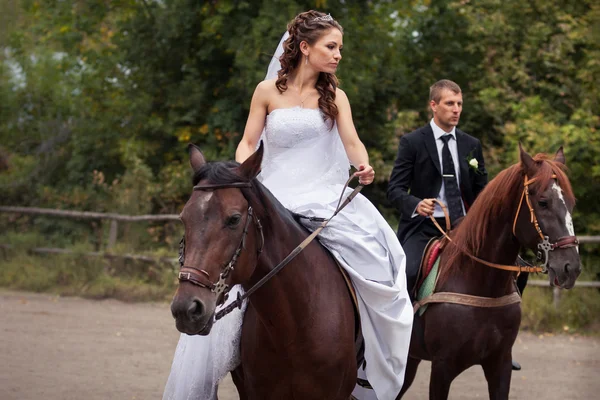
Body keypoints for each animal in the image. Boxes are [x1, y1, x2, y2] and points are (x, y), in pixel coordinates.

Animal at [398, 145, 580, 398]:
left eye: (571, 203)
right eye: (543, 202)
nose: (570, 267)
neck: (480, 283)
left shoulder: (499, 365)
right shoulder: (442, 368)